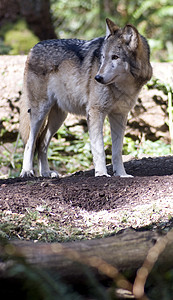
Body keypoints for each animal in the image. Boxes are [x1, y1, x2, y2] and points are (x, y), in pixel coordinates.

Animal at [19, 18, 152, 177]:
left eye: (115, 57)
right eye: (102, 58)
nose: (97, 78)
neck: (122, 87)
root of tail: (33, 47)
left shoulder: (119, 115)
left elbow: (117, 151)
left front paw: (121, 174)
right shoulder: (95, 112)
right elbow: (99, 148)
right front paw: (101, 174)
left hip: (58, 118)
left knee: (42, 143)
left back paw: (46, 173)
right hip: (39, 112)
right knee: (30, 142)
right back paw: (27, 171)